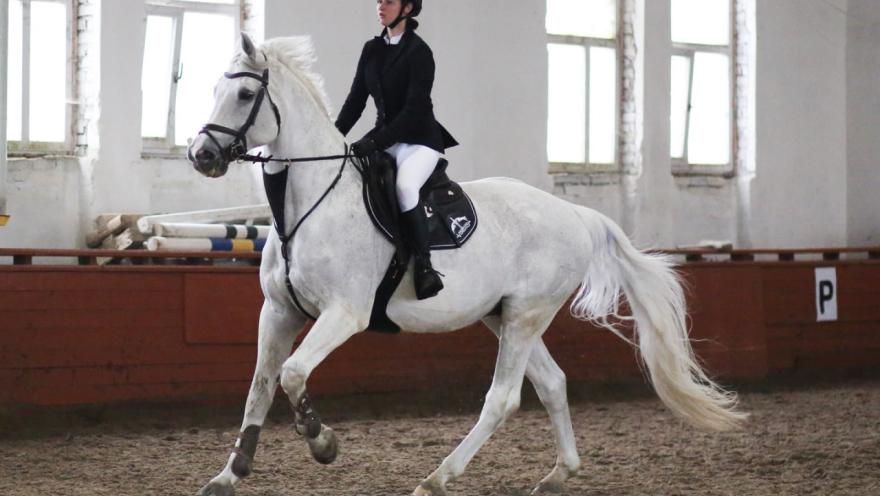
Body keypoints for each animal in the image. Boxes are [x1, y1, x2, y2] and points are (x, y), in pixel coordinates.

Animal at [187, 33, 746, 496]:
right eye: (213, 88)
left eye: (244, 95)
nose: (201, 154)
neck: (309, 203)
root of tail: (574, 213)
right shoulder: (278, 312)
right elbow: (260, 386)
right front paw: (228, 475)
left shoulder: (345, 313)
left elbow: (293, 374)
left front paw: (321, 441)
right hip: (505, 315)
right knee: (552, 383)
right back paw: (558, 474)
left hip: (525, 315)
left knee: (503, 398)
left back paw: (438, 478)